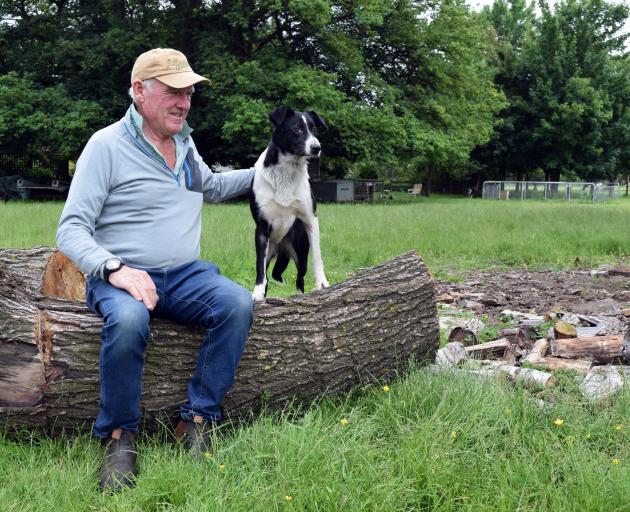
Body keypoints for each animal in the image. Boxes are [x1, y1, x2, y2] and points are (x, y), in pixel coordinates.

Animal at [251, 106, 334, 302]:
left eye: (314, 129)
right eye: (297, 129)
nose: (317, 147)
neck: (287, 171)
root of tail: (281, 249)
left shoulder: (310, 219)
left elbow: (317, 255)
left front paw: (322, 283)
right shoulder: (262, 228)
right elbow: (259, 268)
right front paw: (257, 292)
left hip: (300, 251)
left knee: (300, 276)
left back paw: (299, 294)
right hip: (270, 251)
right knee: (269, 276)